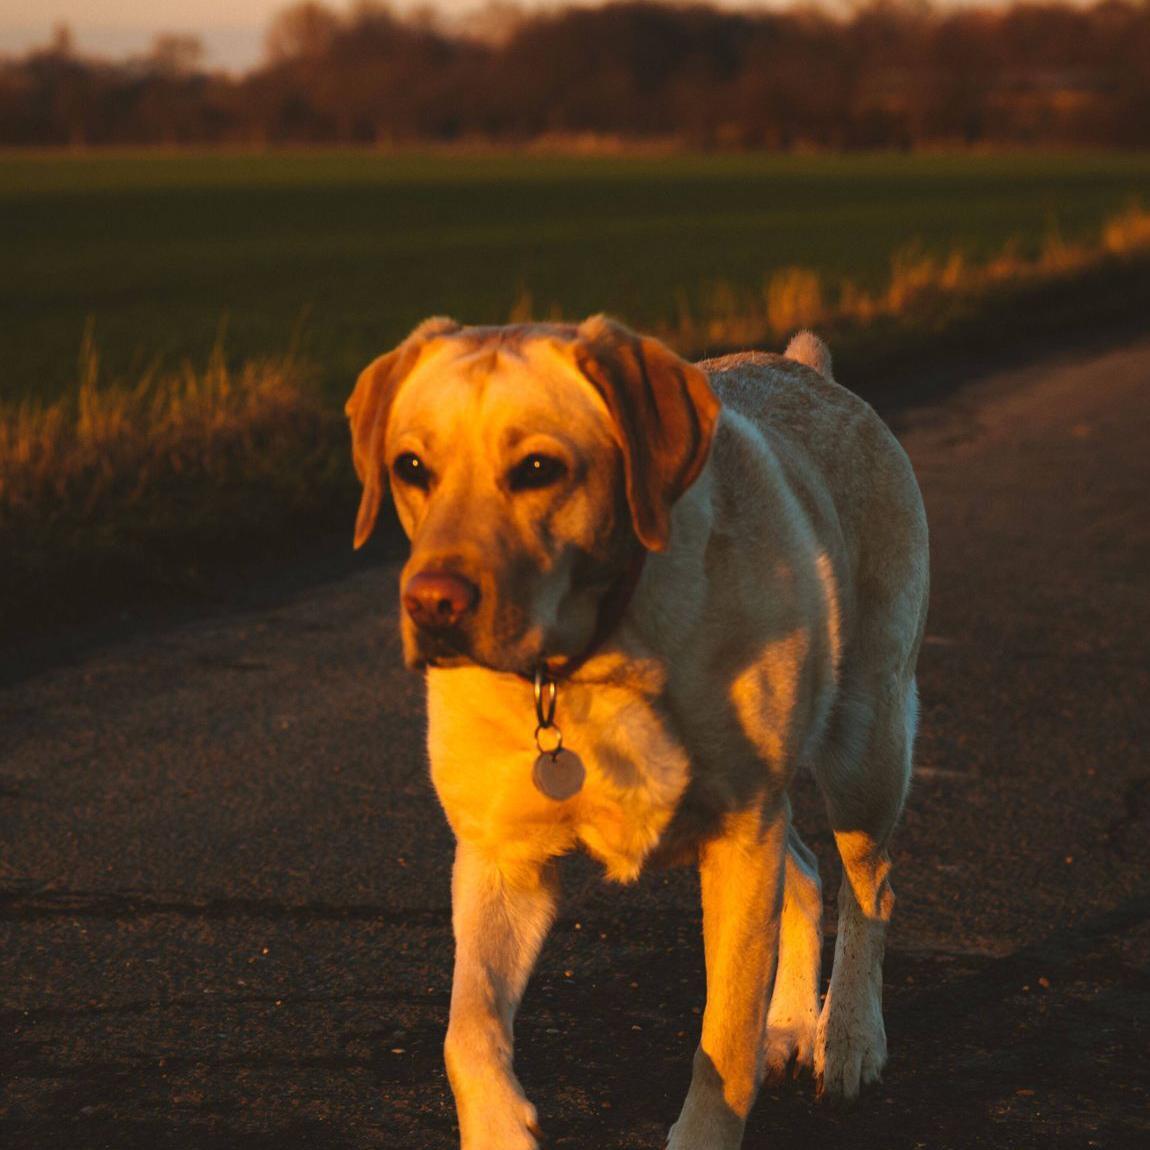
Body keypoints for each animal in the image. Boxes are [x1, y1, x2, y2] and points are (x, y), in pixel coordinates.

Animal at [345, 315, 929, 1150]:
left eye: (538, 468)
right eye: (411, 466)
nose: (431, 605)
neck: (582, 666)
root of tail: (808, 370)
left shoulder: (741, 839)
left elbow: (724, 1046)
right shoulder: (500, 858)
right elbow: (467, 1030)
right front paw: (500, 1125)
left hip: (865, 746)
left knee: (868, 885)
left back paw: (847, 1039)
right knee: (809, 870)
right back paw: (791, 1023)